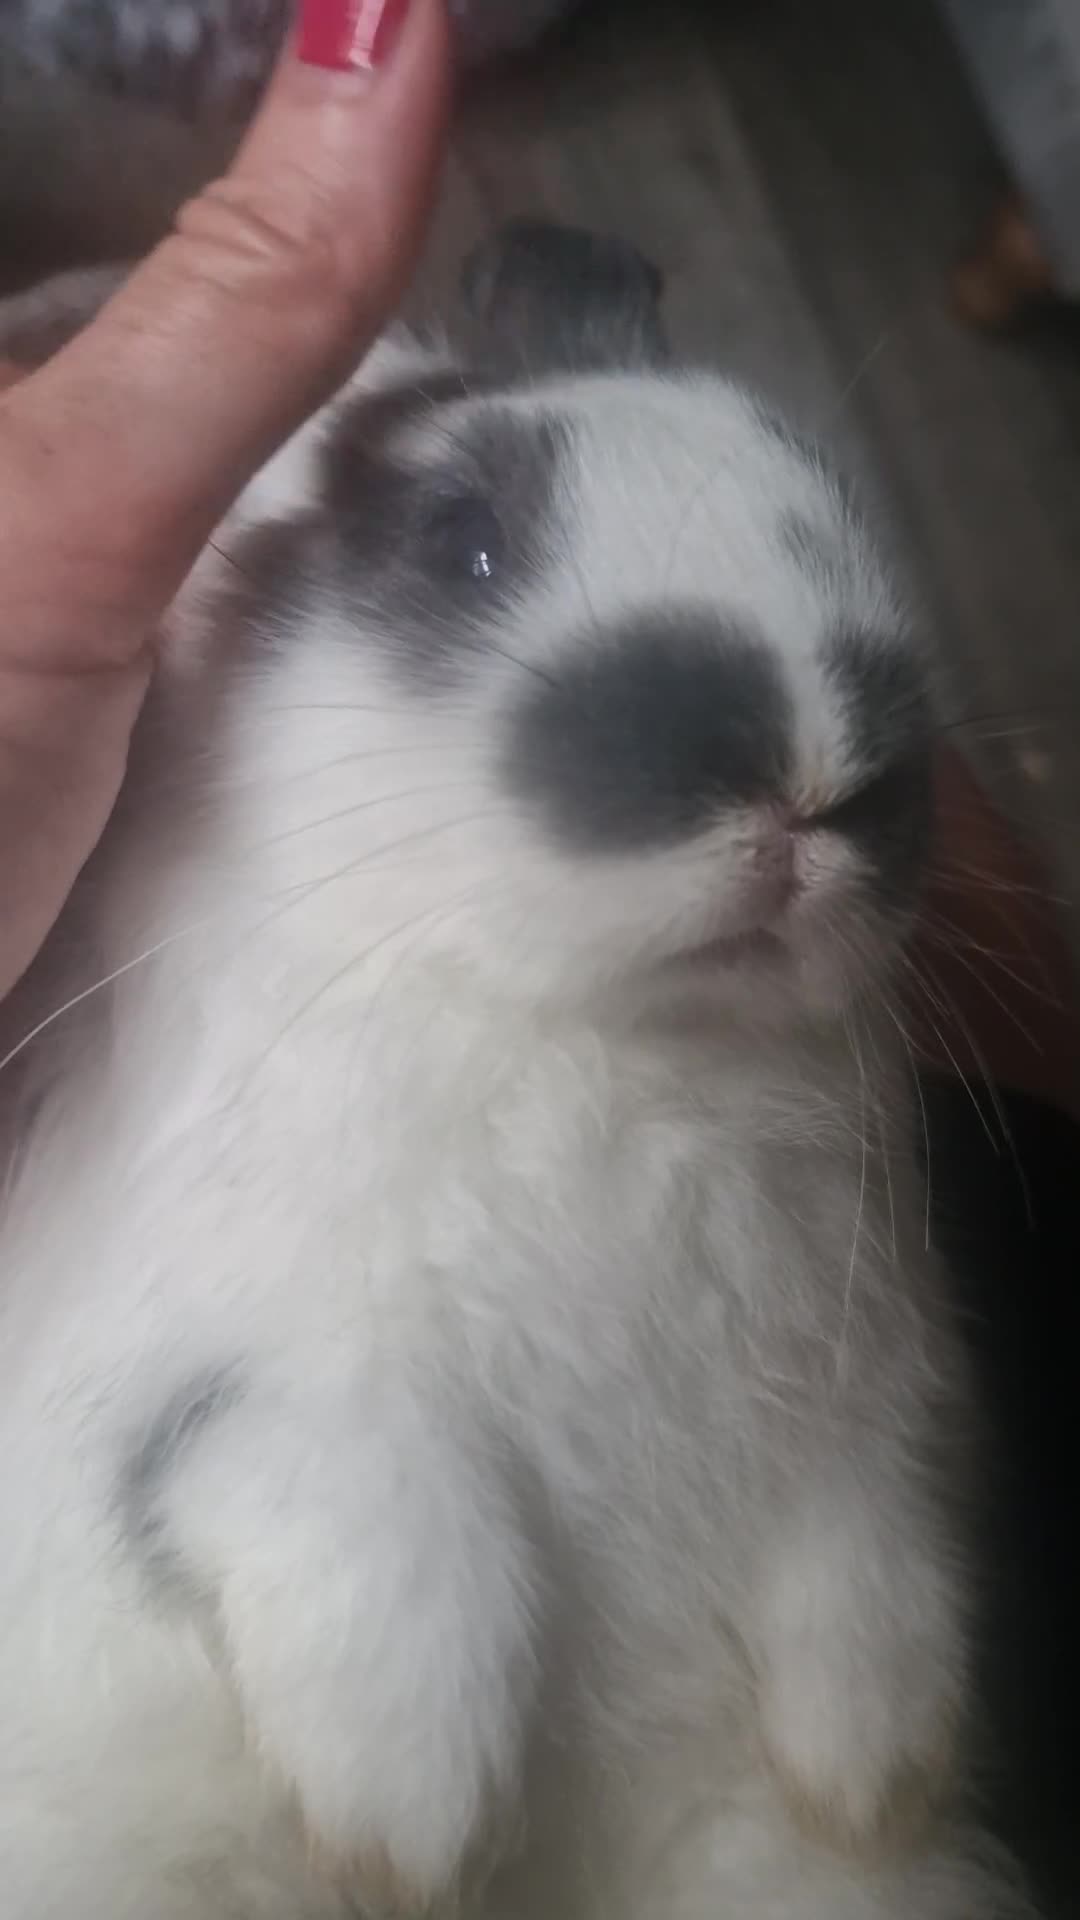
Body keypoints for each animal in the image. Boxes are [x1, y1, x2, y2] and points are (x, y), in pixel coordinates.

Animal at [0, 221, 1034, 1919]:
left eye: (828, 492)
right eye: (463, 541)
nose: (814, 772)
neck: (611, 1041)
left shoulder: (874, 1398)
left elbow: (872, 1563)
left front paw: (875, 1775)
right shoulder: (272, 1369)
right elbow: (372, 1516)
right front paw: (410, 1834)